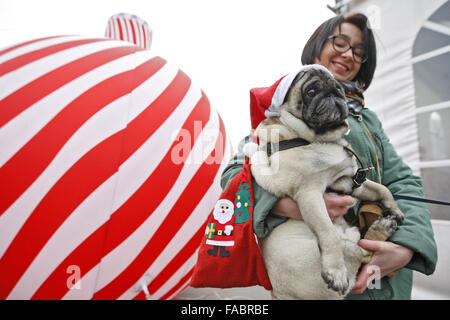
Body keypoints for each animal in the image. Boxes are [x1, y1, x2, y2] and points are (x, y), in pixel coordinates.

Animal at [246, 65, 404, 300]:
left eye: (339, 89)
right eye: (311, 92)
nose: (333, 93)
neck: (322, 139)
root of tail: (279, 294)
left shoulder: (350, 182)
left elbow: (382, 189)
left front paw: (394, 209)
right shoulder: (309, 194)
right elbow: (327, 233)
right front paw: (335, 271)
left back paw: (385, 224)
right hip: (336, 254)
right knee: (363, 252)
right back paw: (381, 229)